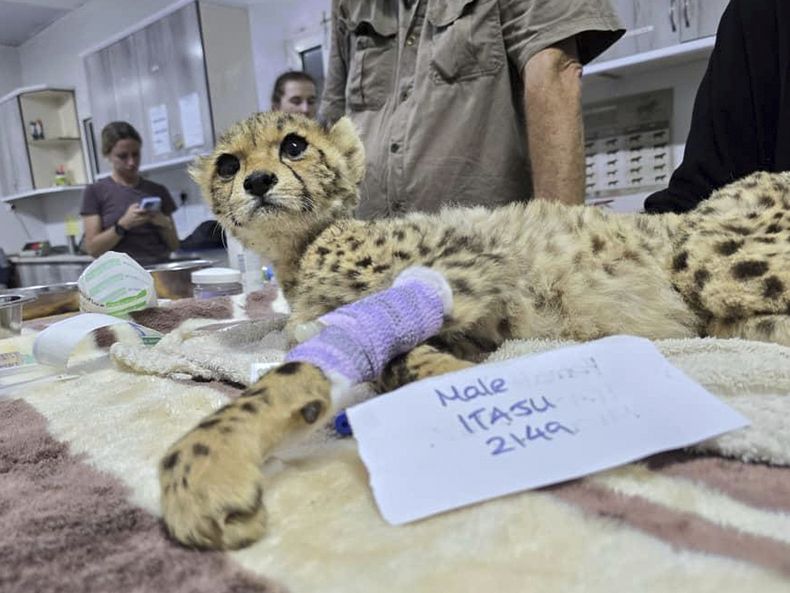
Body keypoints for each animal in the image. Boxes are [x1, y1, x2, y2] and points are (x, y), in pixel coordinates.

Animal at [159, 110, 790, 550]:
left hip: (707, 253)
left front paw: (201, 466)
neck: (302, 249)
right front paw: (445, 379)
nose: (259, 181)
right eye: (228, 165)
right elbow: (390, 358)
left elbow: (304, 365)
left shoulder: (471, 264)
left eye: (293, 145)